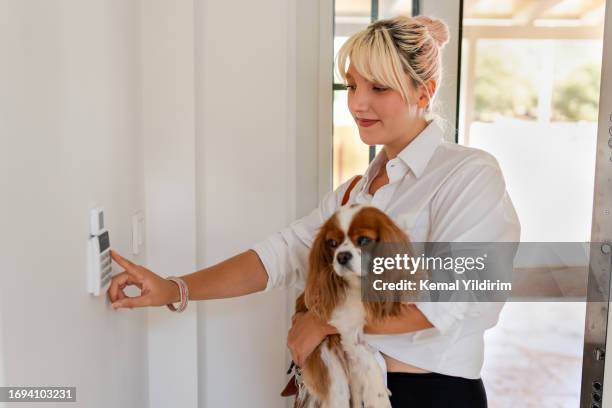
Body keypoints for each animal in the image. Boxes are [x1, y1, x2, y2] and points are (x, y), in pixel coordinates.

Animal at [294, 204, 418, 408]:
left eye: (364, 240)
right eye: (332, 243)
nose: (342, 256)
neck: (357, 285)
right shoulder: (346, 329)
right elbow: (369, 361)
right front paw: (379, 397)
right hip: (331, 369)